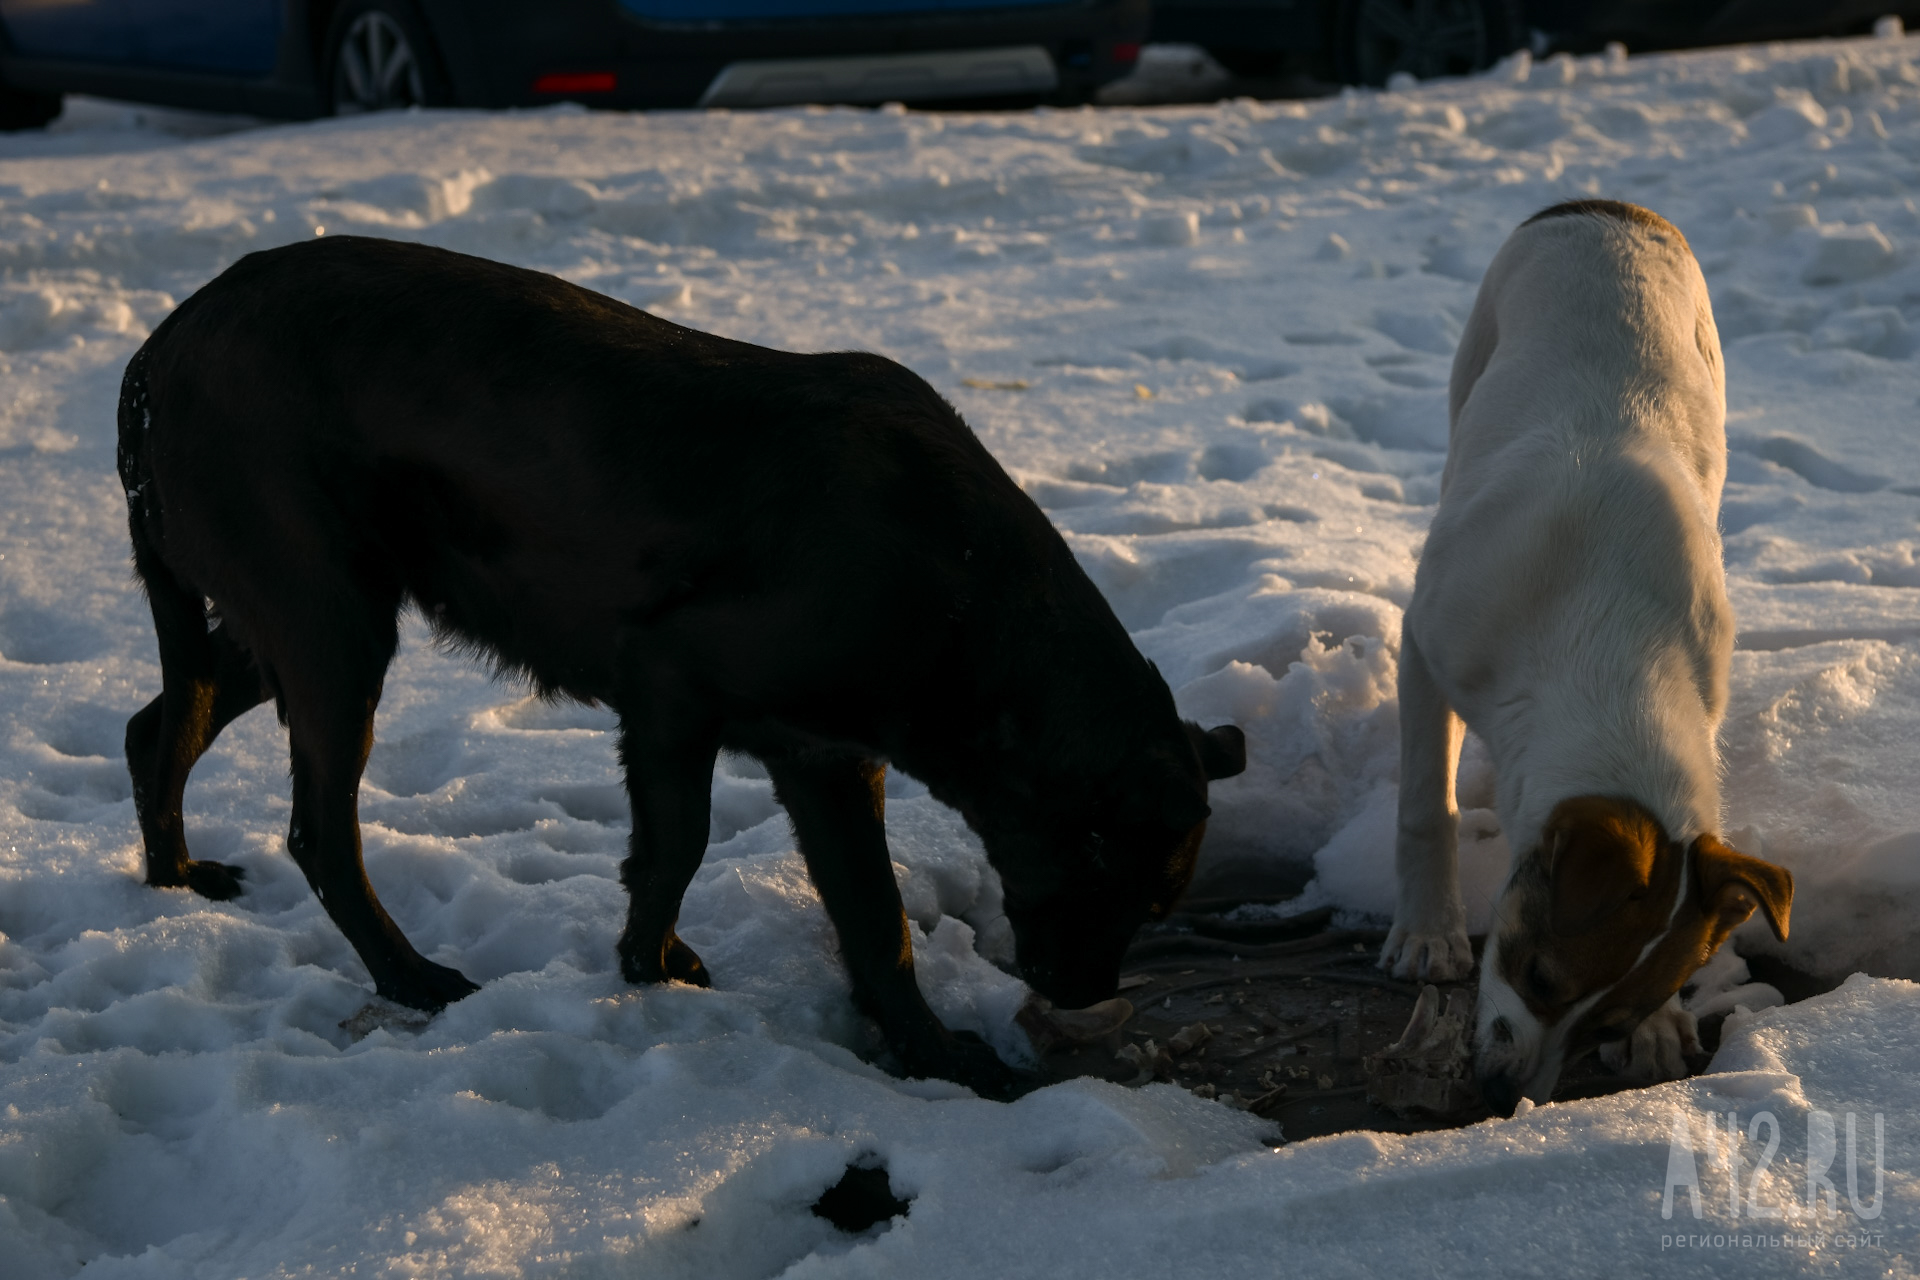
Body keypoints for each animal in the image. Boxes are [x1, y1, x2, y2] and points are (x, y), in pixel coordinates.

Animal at [120, 235, 1244, 1097]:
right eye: (1108, 886)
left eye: (1154, 910)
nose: (1081, 996)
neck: (958, 585)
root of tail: (166, 340)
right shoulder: (671, 689)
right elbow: (678, 849)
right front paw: (647, 968)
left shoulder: (829, 759)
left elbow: (877, 923)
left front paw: (934, 1055)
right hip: (331, 620)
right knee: (319, 831)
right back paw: (412, 977)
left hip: (304, 616)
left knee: (160, 720)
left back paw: (173, 874)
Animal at [1390, 200, 1789, 1113]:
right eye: (1538, 975)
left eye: (1608, 1018)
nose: (1507, 1096)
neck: (1608, 648)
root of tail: (1611, 206)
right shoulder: (1427, 643)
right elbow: (1427, 803)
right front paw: (1428, 935)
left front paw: (1660, 1031)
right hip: (1476, 362)